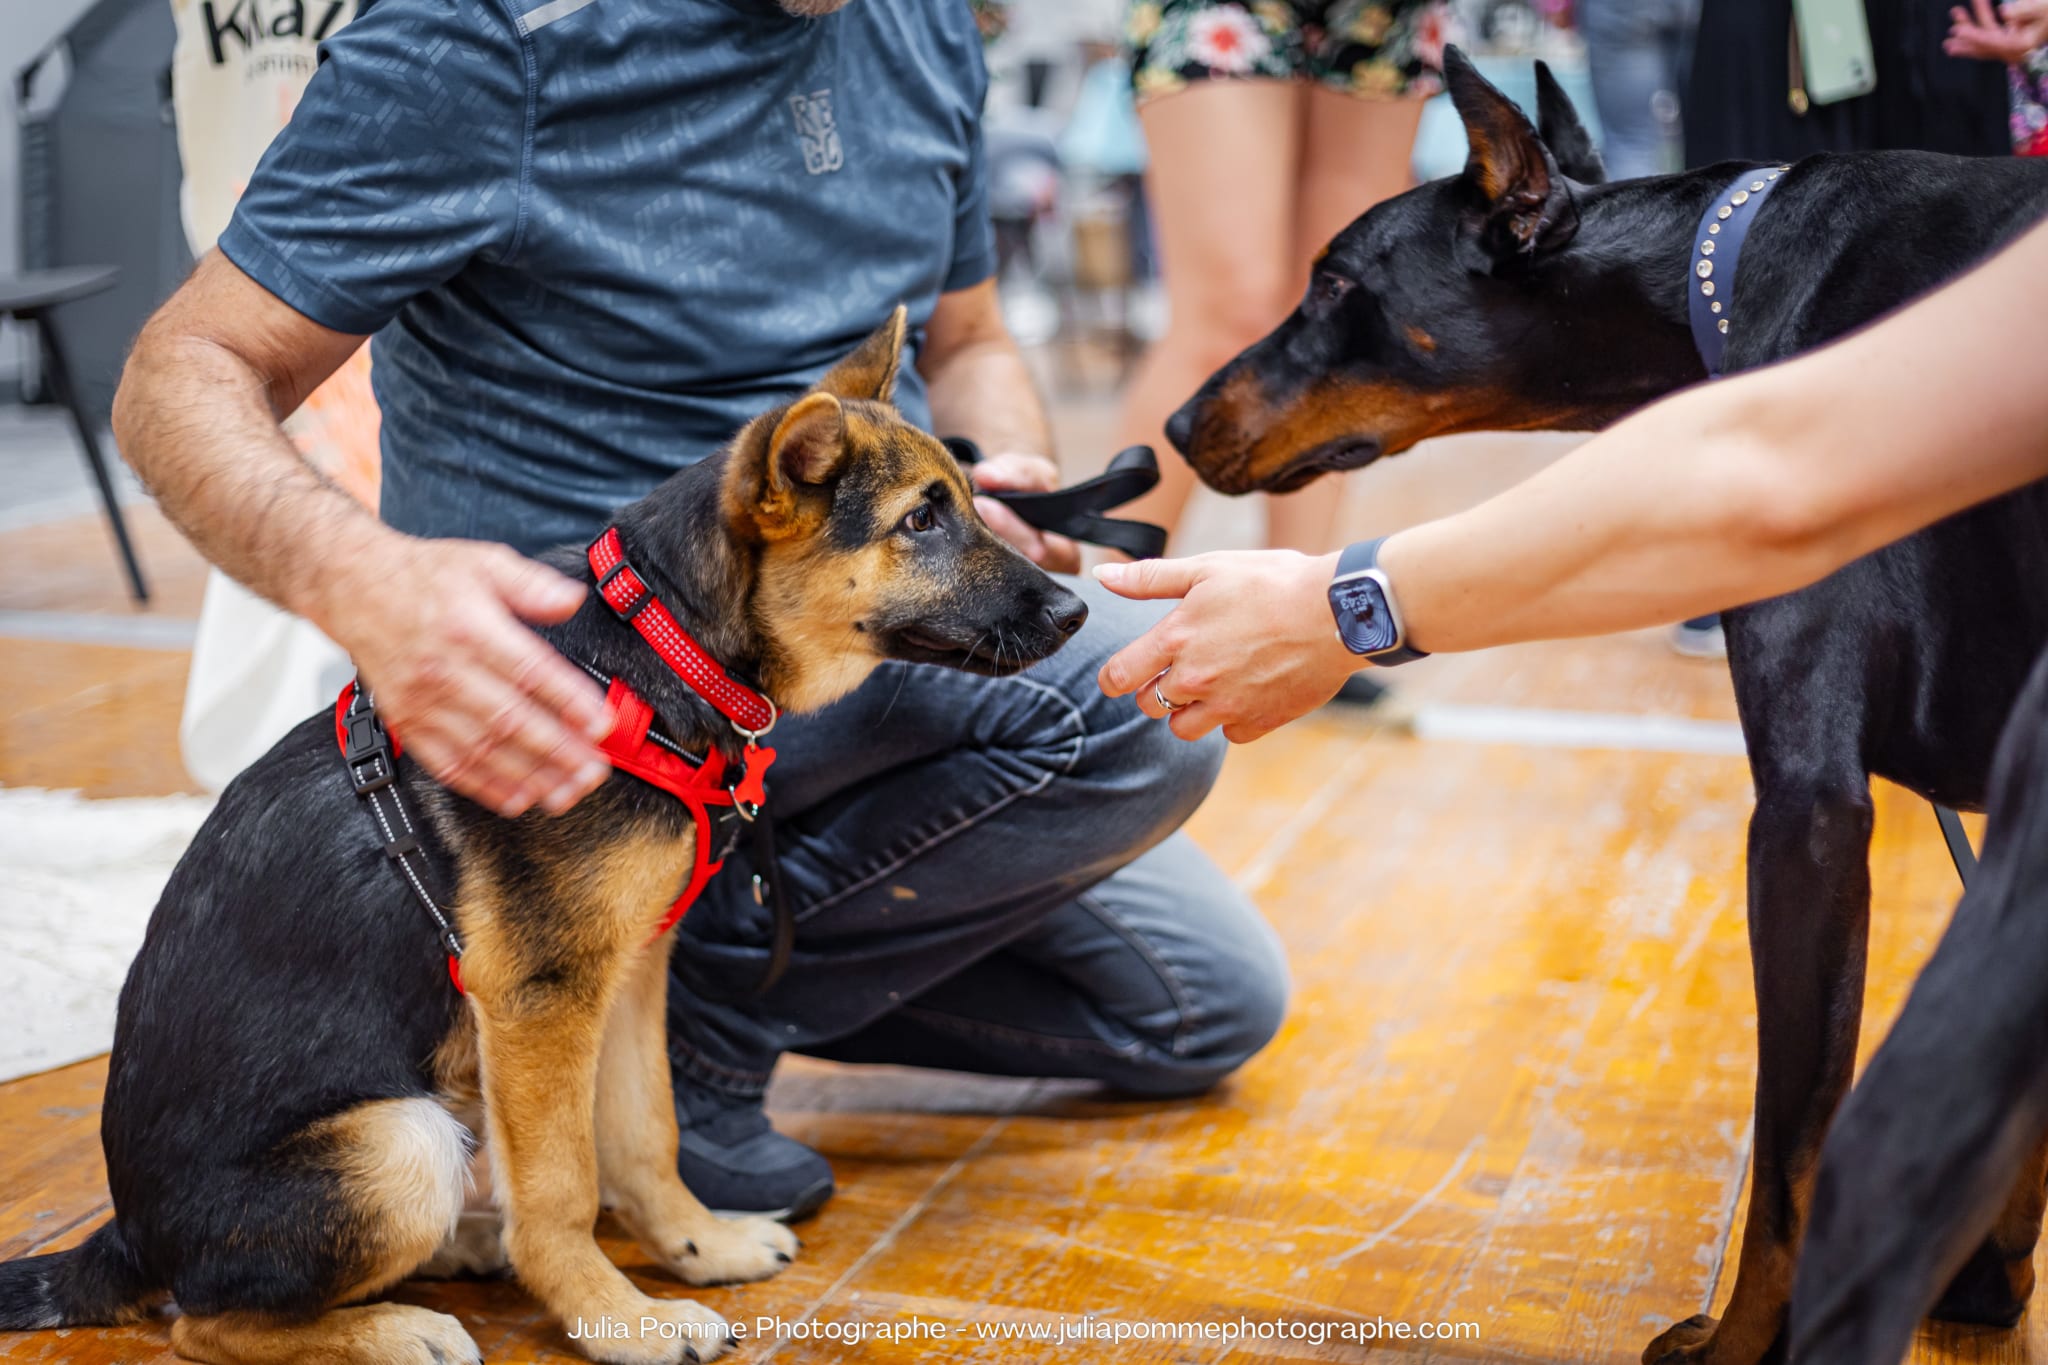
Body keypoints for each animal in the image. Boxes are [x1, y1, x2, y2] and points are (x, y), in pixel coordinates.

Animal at [0, 313, 1089, 1365]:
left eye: (970, 501)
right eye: (920, 520)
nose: (1079, 607)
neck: (657, 650)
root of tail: (125, 1237)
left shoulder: (633, 968)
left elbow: (647, 1132)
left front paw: (697, 1246)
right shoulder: (539, 995)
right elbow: (564, 1185)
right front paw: (619, 1321)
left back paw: (464, 1250)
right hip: (401, 1143)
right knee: (204, 1320)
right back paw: (400, 1327)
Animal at [1171, 48, 2048, 1365]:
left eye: (1333, 282)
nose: (1176, 424)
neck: (1714, 277)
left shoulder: (1807, 814)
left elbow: (1787, 1153)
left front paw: (1736, 1345)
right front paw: (1993, 1275)